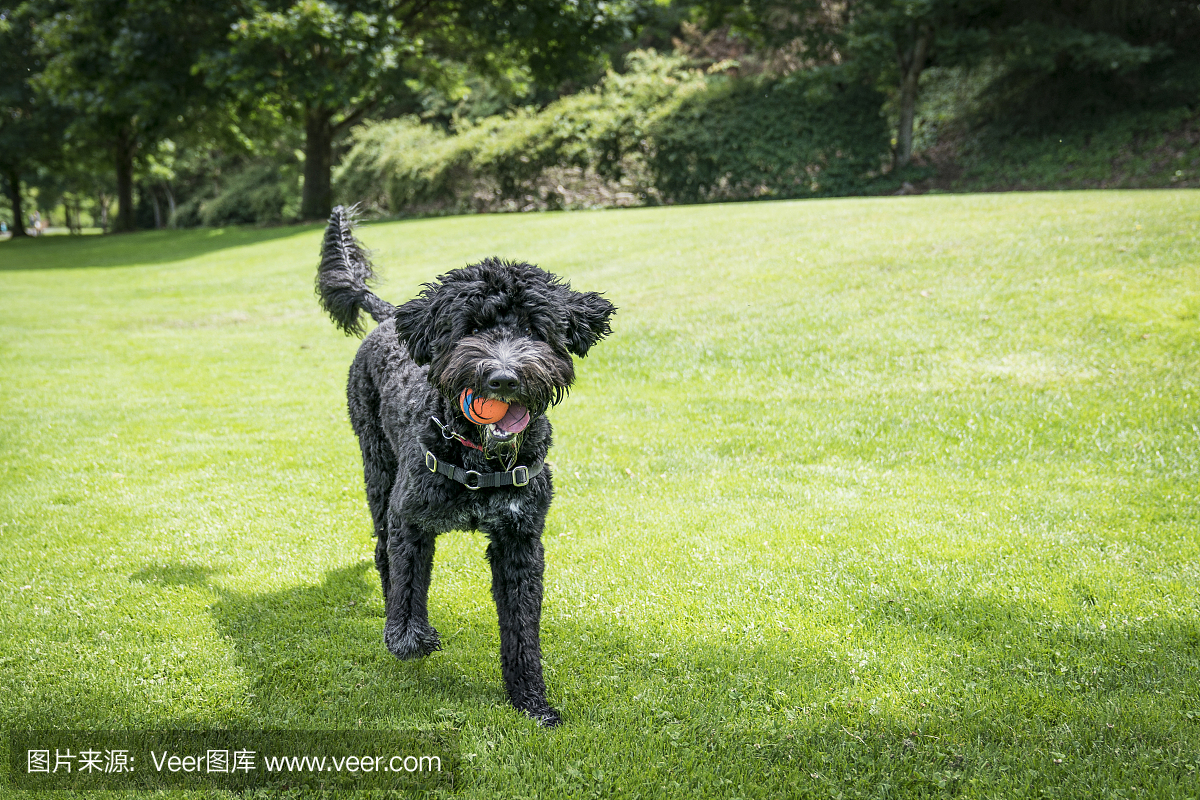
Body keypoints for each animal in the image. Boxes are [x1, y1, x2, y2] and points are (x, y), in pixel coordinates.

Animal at [314, 206, 614, 724]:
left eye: (535, 330)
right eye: (471, 328)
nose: (503, 377)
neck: (477, 457)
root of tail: (391, 318)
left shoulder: (520, 542)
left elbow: (522, 630)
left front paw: (531, 700)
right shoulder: (410, 518)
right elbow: (409, 584)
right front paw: (409, 636)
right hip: (378, 470)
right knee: (384, 552)